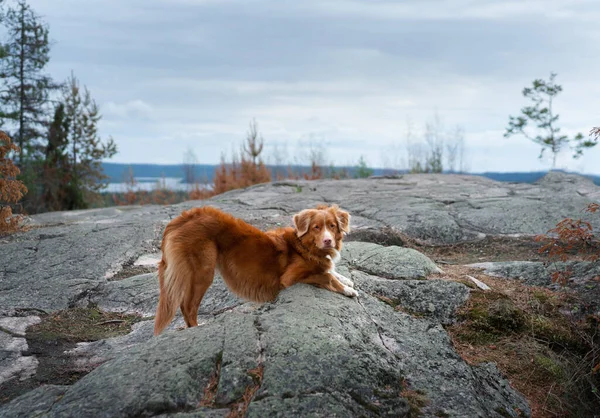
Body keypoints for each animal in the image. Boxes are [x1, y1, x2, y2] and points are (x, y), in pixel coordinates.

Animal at [152, 204, 356, 334]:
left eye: (332, 226)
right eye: (316, 227)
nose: (328, 241)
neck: (304, 245)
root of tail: (180, 219)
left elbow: (330, 270)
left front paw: (346, 279)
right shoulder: (290, 277)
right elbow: (326, 275)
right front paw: (348, 290)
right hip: (203, 271)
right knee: (187, 306)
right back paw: (197, 328)